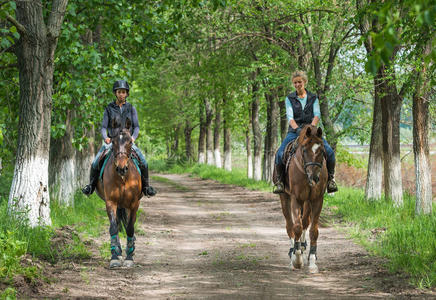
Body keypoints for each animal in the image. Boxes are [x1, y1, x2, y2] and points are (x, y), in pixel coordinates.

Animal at [96, 118, 142, 268]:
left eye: (130, 142)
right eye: (113, 142)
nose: (121, 168)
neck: (123, 178)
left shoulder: (134, 204)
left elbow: (130, 228)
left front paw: (129, 258)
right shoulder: (111, 202)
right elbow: (113, 228)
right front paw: (114, 257)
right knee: (116, 223)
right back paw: (118, 250)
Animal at [280, 125, 328, 274]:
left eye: (322, 151)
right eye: (305, 150)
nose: (314, 178)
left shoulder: (317, 200)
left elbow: (313, 230)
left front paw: (312, 262)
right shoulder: (296, 198)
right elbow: (296, 227)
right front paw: (297, 260)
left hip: (307, 202)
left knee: (305, 222)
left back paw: (302, 247)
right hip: (285, 198)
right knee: (290, 226)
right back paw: (293, 253)